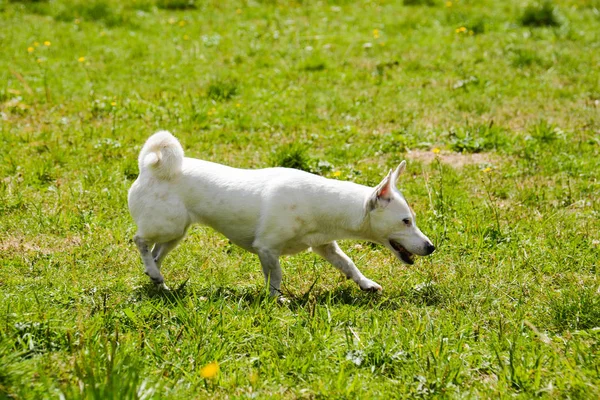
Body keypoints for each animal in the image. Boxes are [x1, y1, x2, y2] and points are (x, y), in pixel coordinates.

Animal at [129, 133, 434, 296]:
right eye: (406, 221)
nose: (431, 247)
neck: (322, 204)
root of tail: (147, 168)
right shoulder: (267, 248)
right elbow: (276, 276)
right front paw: (277, 300)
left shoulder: (325, 246)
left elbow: (348, 265)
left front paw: (366, 284)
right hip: (167, 226)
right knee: (140, 241)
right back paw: (153, 271)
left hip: (175, 232)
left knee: (155, 254)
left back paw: (157, 279)